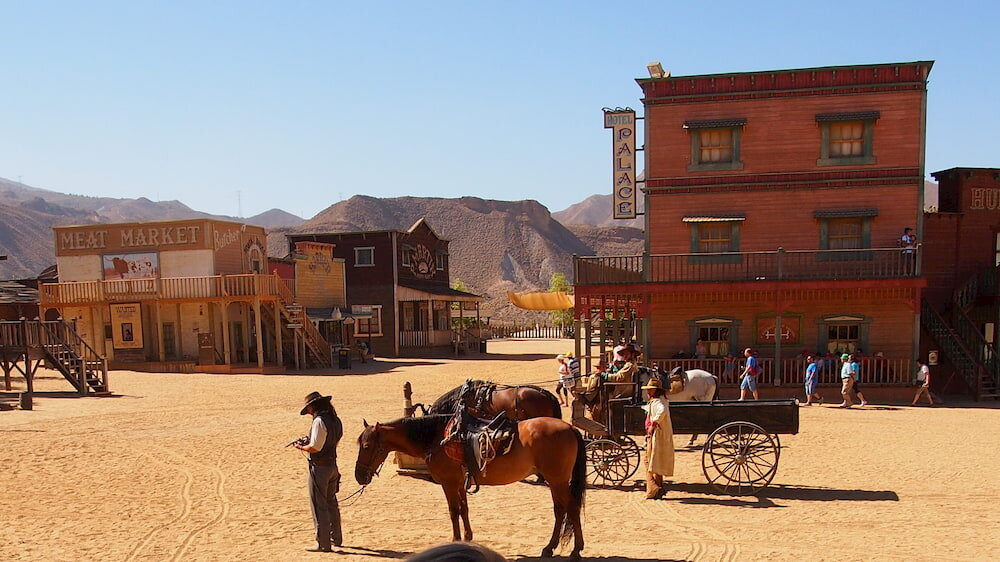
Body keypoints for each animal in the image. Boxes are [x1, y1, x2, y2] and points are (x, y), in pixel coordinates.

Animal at [356, 414, 584, 556]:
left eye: (366, 446)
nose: (358, 475)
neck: (437, 438)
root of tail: (570, 427)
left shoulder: (448, 482)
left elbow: (453, 511)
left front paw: (456, 539)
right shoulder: (459, 483)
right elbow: (464, 509)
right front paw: (467, 538)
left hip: (557, 480)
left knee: (571, 509)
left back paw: (575, 550)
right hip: (555, 481)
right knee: (560, 510)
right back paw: (550, 547)